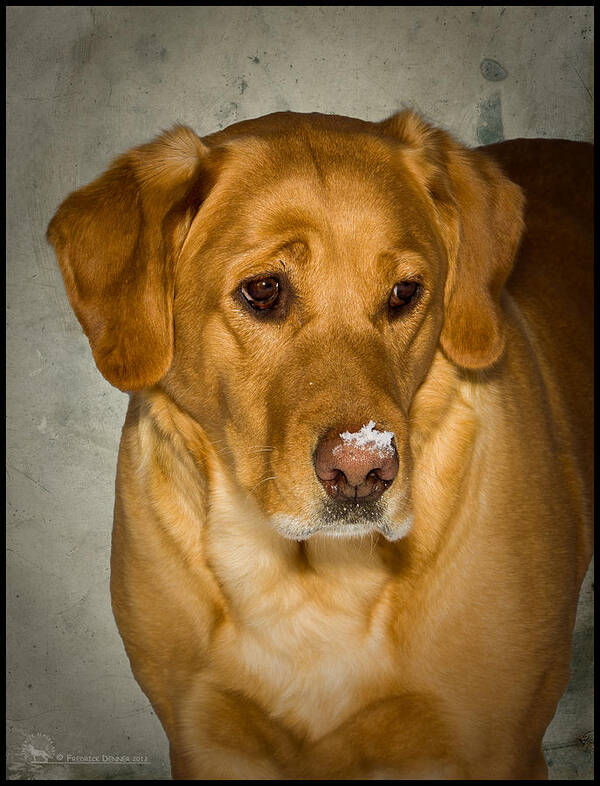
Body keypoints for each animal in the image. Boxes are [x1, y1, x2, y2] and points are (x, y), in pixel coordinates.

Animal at [47, 110, 592, 776]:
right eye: (263, 290)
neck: (309, 584)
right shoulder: (206, 743)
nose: (362, 469)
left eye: (404, 293)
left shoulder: (499, 747)